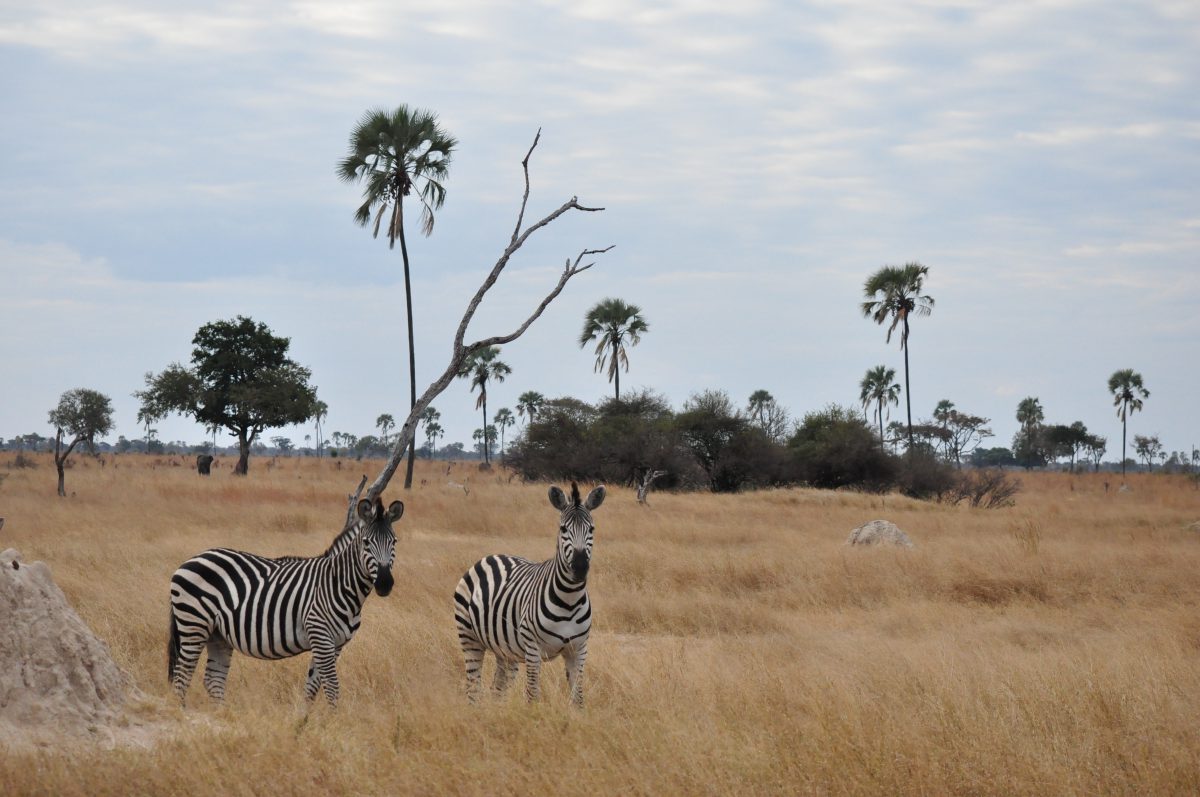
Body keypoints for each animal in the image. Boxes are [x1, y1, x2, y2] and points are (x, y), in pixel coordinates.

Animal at [168, 494, 403, 705]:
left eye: (394, 542)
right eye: (366, 542)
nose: (384, 584)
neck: (338, 584)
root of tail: (190, 560)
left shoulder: (335, 644)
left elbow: (313, 687)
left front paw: (304, 721)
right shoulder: (320, 635)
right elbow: (332, 688)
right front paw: (333, 721)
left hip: (217, 634)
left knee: (213, 679)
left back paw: (223, 716)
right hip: (194, 624)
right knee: (182, 676)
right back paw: (184, 715)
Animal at [451, 482, 604, 705]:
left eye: (592, 529)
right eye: (563, 529)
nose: (580, 568)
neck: (569, 600)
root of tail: (491, 556)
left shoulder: (579, 649)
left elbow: (578, 698)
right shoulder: (533, 648)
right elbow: (533, 695)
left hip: (506, 650)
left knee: (497, 689)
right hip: (469, 637)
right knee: (473, 689)